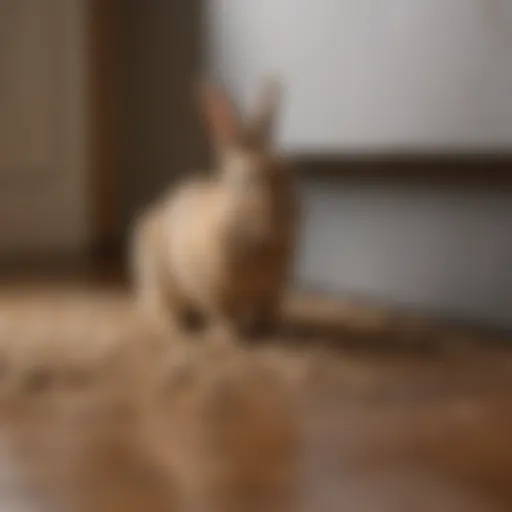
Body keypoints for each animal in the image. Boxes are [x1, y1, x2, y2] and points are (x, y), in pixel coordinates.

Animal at [131, 78, 300, 340]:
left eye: (288, 172)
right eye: (248, 180)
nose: (287, 217)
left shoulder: (272, 293)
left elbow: (266, 311)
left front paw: (270, 332)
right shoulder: (211, 291)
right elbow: (221, 314)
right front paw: (230, 336)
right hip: (158, 278)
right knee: (161, 307)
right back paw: (178, 326)